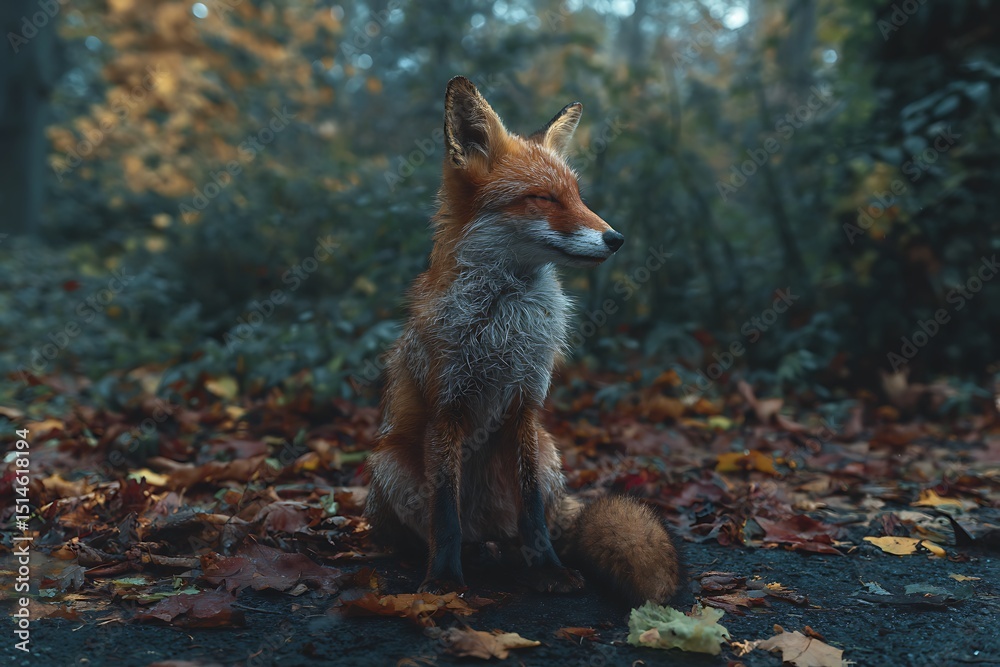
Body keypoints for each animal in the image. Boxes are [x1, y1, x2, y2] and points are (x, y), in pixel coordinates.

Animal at [364, 76, 680, 607]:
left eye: (577, 196)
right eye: (545, 199)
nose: (616, 239)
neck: (502, 320)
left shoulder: (525, 403)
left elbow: (531, 510)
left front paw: (547, 569)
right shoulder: (447, 406)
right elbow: (444, 514)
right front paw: (444, 580)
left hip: (549, 454)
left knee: (527, 527)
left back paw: (516, 556)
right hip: (391, 466)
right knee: (444, 530)